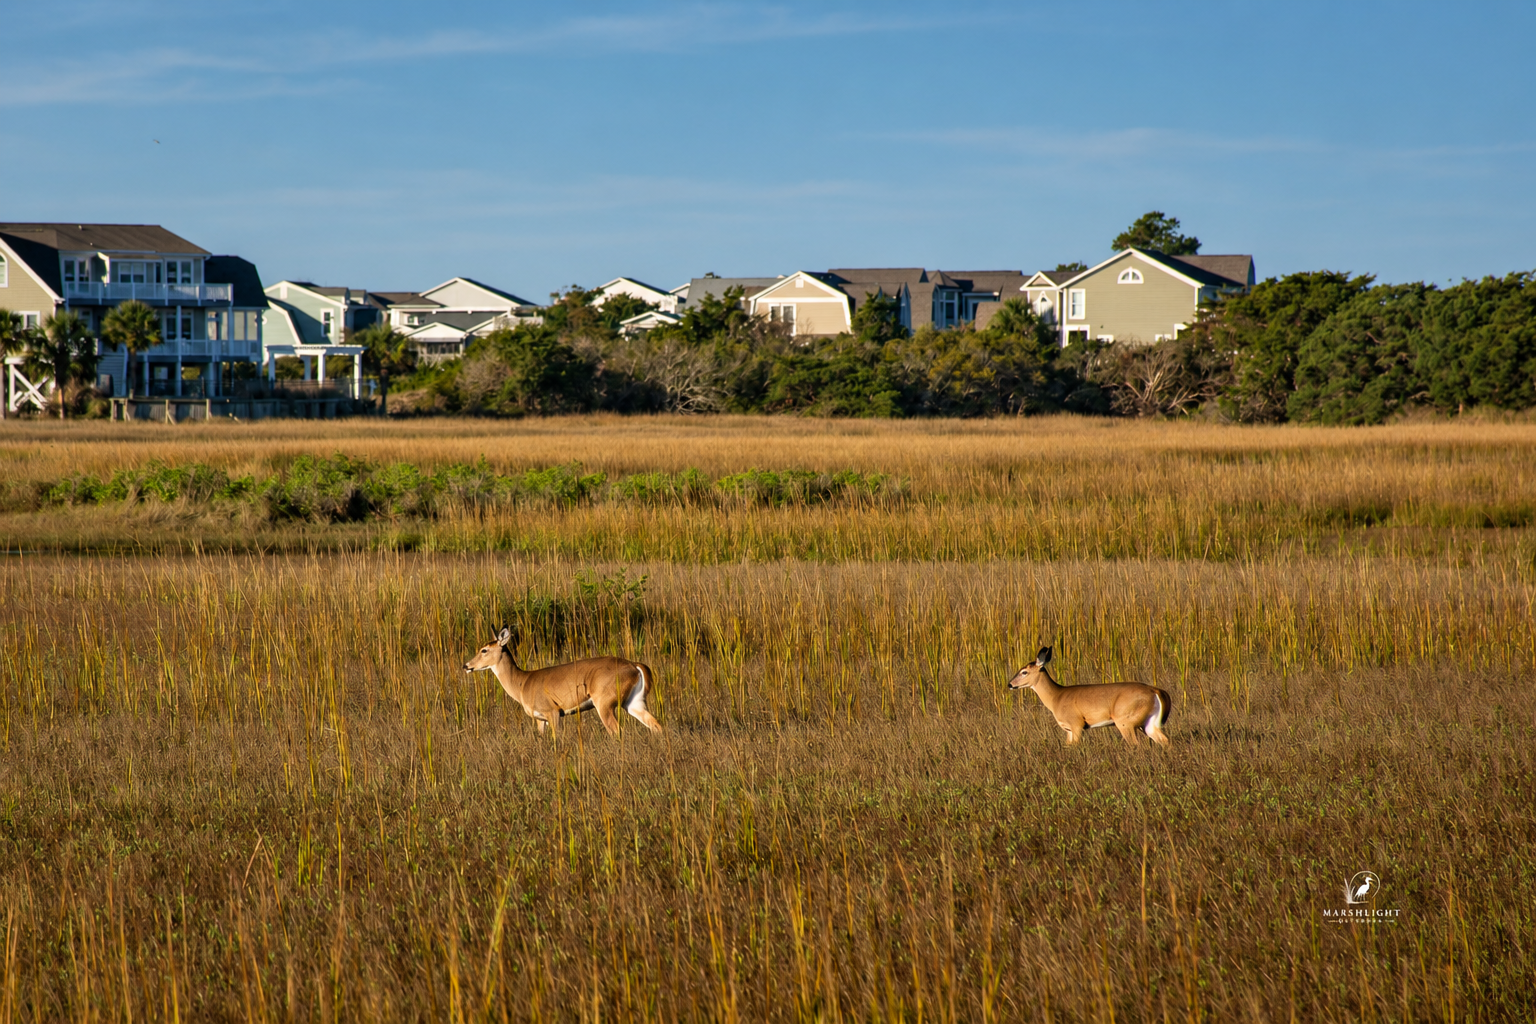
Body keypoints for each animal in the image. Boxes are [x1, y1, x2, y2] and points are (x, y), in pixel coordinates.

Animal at [463, 626, 663, 739]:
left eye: (484, 650)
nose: (466, 665)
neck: (522, 682)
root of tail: (634, 666)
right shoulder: (540, 718)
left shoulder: (553, 712)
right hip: (634, 702)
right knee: (655, 725)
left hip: (605, 703)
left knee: (617, 731)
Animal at [1007, 646, 1172, 746]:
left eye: (1024, 672)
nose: (1010, 684)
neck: (1056, 697)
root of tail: (1156, 691)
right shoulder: (1068, 729)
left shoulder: (1076, 724)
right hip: (1150, 722)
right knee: (1165, 741)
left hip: (1125, 721)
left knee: (1136, 745)